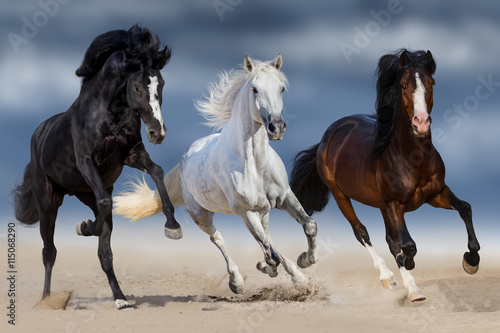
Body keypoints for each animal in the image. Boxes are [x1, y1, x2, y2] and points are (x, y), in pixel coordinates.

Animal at [12, 25, 183, 308]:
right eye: (138, 88)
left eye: (161, 84)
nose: (158, 133)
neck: (108, 115)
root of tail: (39, 133)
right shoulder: (86, 162)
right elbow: (104, 203)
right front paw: (84, 227)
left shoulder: (132, 154)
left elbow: (157, 171)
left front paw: (173, 226)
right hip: (48, 203)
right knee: (49, 251)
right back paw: (47, 300)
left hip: (84, 194)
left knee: (104, 251)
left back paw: (121, 299)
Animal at [113, 55, 316, 294]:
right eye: (254, 89)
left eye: (281, 88)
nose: (277, 127)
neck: (255, 165)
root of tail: (185, 157)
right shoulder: (247, 212)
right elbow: (269, 254)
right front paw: (268, 268)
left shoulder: (284, 197)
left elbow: (308, 225)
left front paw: (305, 261)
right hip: (201, 215)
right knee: (218, 238)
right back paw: (237, 282)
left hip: (263, 211)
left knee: (268, 237)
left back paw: (297, 276)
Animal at [292, 49, 478, 300]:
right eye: (403, 84)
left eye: (432, 83)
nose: (421, 122)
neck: (413, 157)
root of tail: (329, 135)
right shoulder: (394, 204)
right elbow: (407, 245)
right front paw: (408, 264)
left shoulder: (436, 194)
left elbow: (465, 208)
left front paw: (471, 260)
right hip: (341, 195)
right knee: (362, 233)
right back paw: (391, 279)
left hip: (380, 205)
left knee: (390, 240)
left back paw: (410, 286)